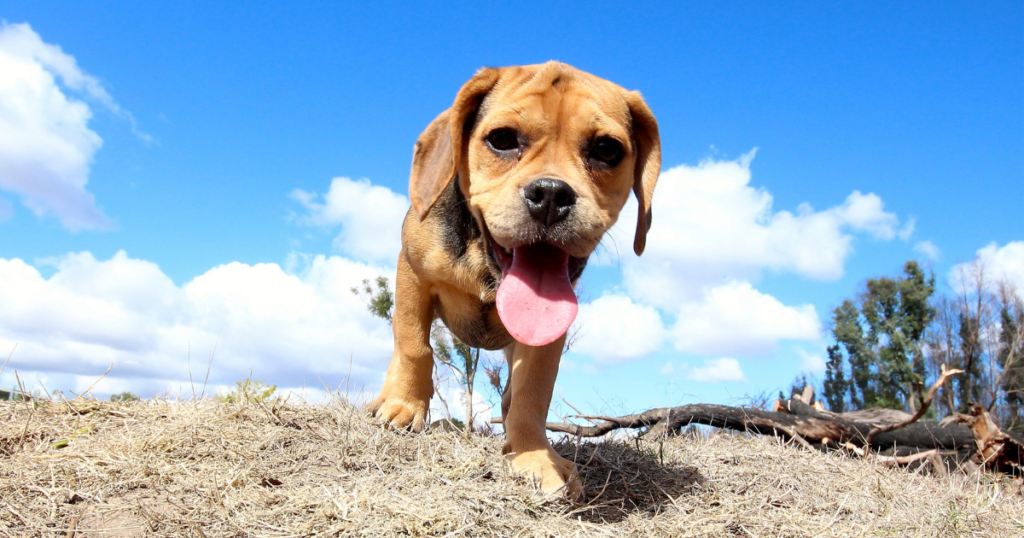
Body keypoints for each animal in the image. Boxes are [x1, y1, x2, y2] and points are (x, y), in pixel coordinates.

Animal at [372, 61, 659, 495]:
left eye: (607, 149)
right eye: (502, 140)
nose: (552, 194)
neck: (485, 268)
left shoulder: (548, 335)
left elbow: (530, 393)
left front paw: (533, 455)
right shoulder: (413, 274)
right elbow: (414, 348)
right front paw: (405, 406)